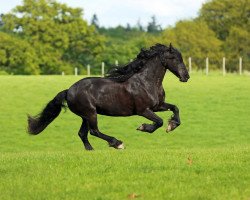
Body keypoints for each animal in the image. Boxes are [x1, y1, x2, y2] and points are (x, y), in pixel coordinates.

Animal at [27, 43, 189, 150]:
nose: (186, 77)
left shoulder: (158, 106)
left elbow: (175, 108)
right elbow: (159, 121)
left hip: (85, 116)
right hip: (90, 113)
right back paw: (117, 143)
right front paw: (143, 127)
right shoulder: (143, 110)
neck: (146, 82)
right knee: (93, 131)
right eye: (175, 58)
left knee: (82, 133)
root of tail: (68, 90)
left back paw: (91, 150)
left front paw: (172, 125)